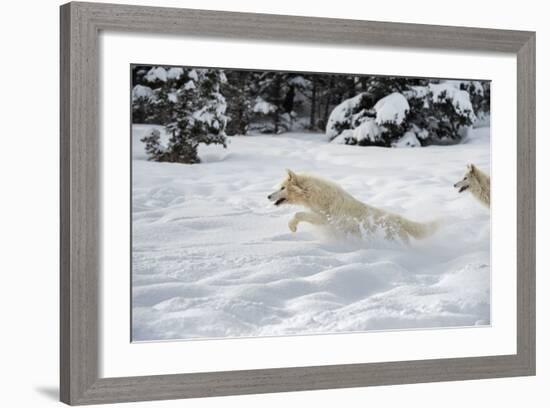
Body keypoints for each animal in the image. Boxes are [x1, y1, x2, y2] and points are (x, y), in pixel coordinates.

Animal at [268, 169, 440, 242]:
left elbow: (298, 214)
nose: (268, 196)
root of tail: (398, 218)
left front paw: (292, 227)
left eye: (282, 188)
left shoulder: (325, 219)